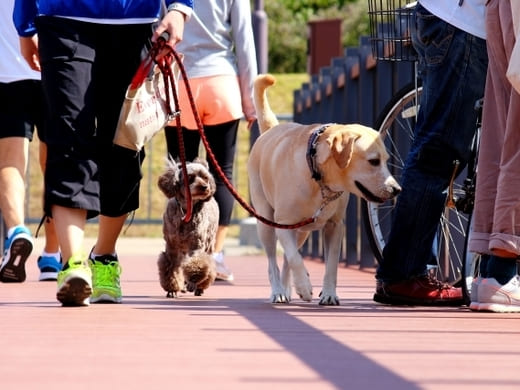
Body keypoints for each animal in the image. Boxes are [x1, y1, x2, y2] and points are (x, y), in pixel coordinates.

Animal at [156, 157, 217, 298]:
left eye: (205, 178)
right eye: (190, 177)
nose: (205, 187)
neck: (186, 211)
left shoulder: (197, 245)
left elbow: (197, 264)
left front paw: (193, 282)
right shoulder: (172, 247)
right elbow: (171, 268)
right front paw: (172, 289)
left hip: (209, 242)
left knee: (208, 265)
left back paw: (199, 287)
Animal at [248, 74, 402, 304]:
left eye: (385, 160)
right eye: (374, 161)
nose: (396, 189)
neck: (318, 179)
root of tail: (271, 129)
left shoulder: (334, 226)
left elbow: (331, 265)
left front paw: (328, 294)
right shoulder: (282, 223)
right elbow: (294, 258)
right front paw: (304, 286)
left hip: (301, 232)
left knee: (287, 259)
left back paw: (287, 288)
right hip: (266, 223)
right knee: (274, 261)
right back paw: (278, 291)